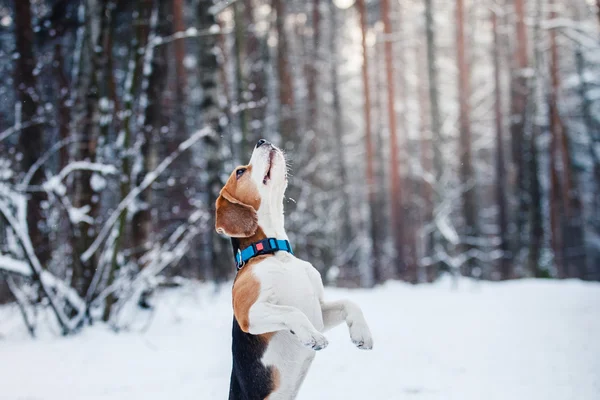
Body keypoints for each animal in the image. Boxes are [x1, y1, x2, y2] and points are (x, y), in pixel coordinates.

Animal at [217, 140, 370, 400]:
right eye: (240, 172)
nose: (262, 141)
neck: (274, 251)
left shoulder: (319, 311)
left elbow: (349, 302)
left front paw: (361, 334)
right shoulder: (248, 313)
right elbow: (292, 311)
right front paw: (312, 337)